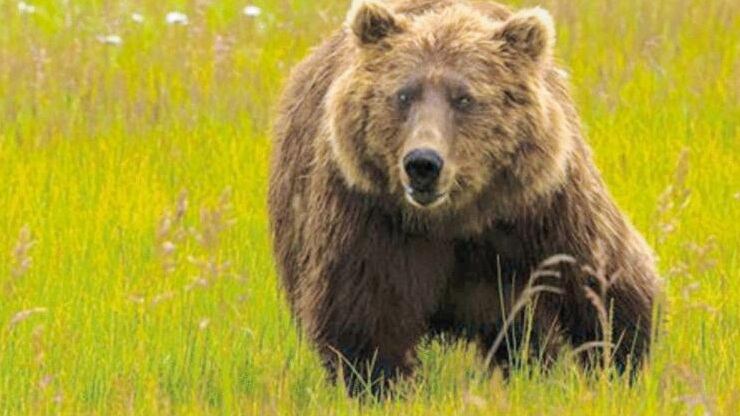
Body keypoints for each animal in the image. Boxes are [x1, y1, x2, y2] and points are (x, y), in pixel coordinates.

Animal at [269, 0, 659, 395]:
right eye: (403, 94)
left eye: (464, 98)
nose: (423, 163)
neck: (458, 216)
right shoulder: (370, 217)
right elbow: (366, 319)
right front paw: (381, 385)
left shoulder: (545, 209)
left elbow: (608, 286)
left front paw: (617, 371)